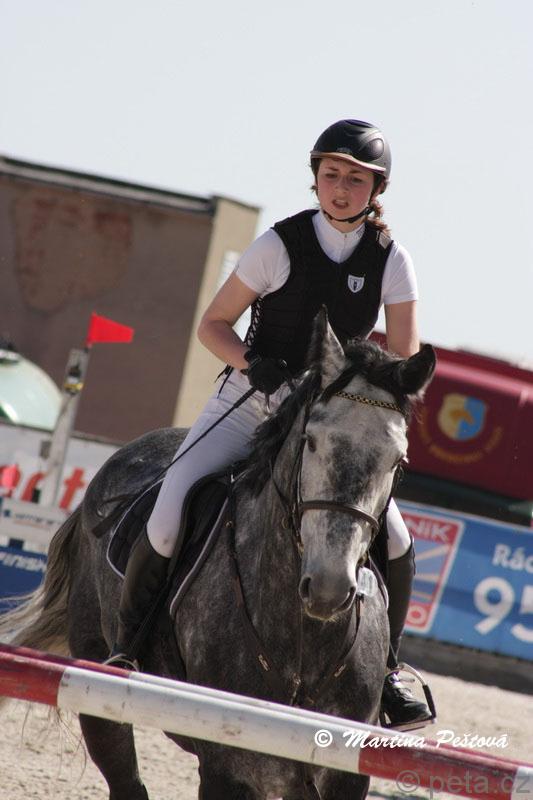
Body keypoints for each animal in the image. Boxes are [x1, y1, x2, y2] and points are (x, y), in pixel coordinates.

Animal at [1, 311, 435, 799]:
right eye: (311, 441)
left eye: (398, 460)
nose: (328, 588)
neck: (302, 637)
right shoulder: (228, 769)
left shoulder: (343, 773)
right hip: (96, 683)